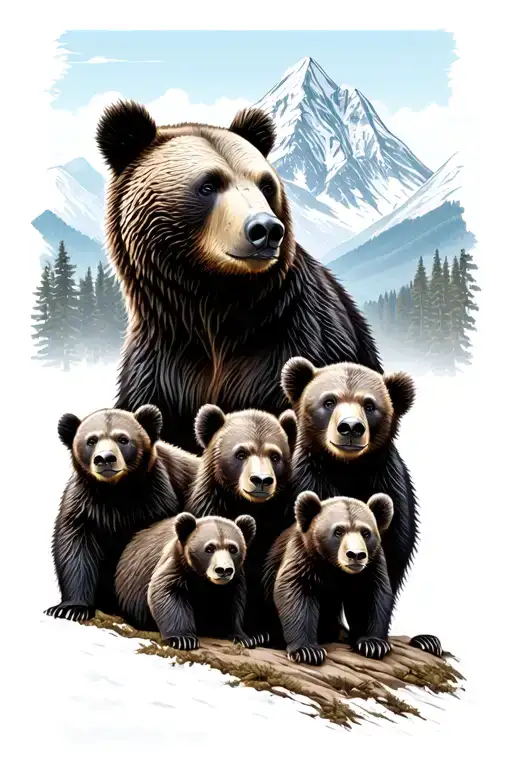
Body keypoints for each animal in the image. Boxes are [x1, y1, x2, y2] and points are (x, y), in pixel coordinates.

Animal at [45, 405, 200, 622]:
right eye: (91, 440)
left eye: (123, 439)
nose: (105, 459)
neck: (116, 492)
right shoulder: (85, 505)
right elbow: (75, 548)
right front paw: (71, 608)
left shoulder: (155, 498)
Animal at [115, 512, 258, 649]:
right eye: (209, 548)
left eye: (233, 548)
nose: (223, 570)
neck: (203, 579)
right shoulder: (176, 564)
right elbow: (167, 593)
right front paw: (183, 639)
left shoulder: (234, 580)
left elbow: (230, 604)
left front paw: (244, 638)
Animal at [263, 491, 395, 665]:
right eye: (338, 531)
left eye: (366, 533)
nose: (356, 555)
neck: (334, 567)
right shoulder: (303, 557)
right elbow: (296, 594)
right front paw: (307, 651)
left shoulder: (371, 565)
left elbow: (368, 596)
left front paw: (373, 644)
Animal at [280, 357, 442, 658]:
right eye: (329, 401)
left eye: (369, 404)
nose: (351, 427)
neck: (348, 469)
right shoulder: (309, 482)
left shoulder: (389, 488)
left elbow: (389, 561)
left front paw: (369, 637)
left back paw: (426, 640)